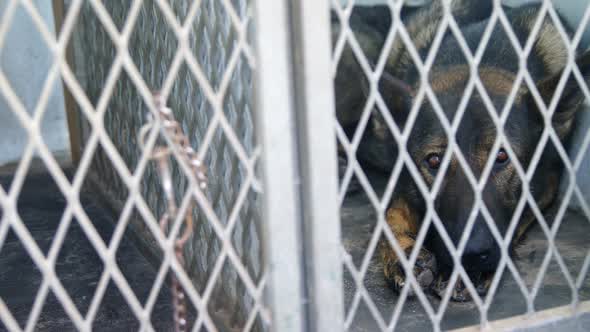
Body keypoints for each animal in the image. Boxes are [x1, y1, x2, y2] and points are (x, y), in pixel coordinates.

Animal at [336, 0, 590, 300]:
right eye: (434, 161)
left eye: (501, 157)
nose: (469, 256)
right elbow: (389, 214)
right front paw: (406, 255)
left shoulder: (546, 185)